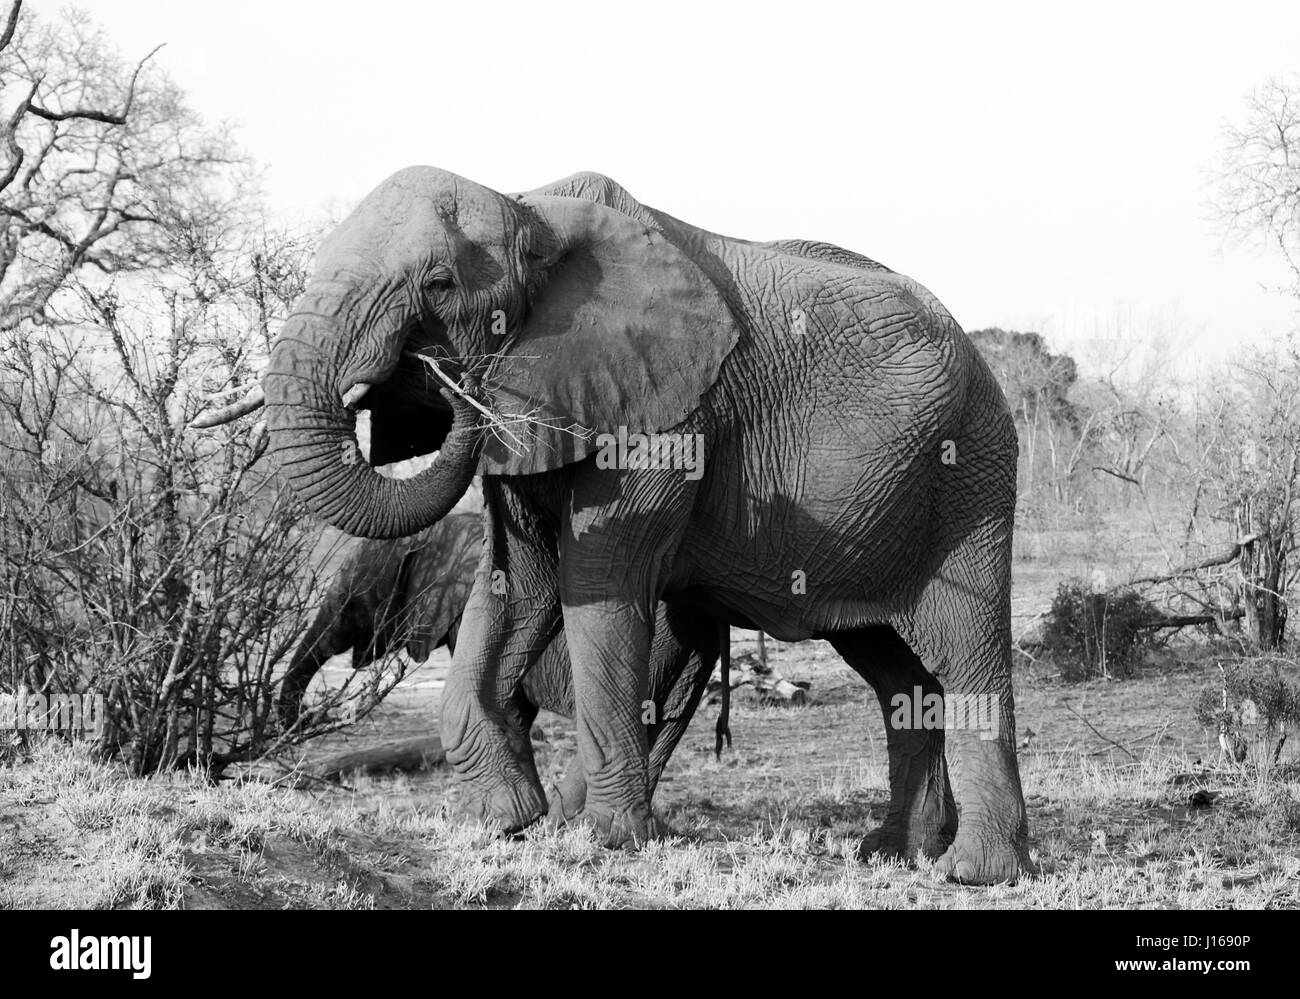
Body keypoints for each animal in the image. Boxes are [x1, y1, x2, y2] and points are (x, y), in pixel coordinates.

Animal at [280, 509, 723, 820]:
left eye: (354, 603)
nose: (300, 724)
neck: (445, 530)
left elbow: (504, 705)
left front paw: (506, 817)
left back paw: (566, 822)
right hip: (689, 656)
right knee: (663, 730)